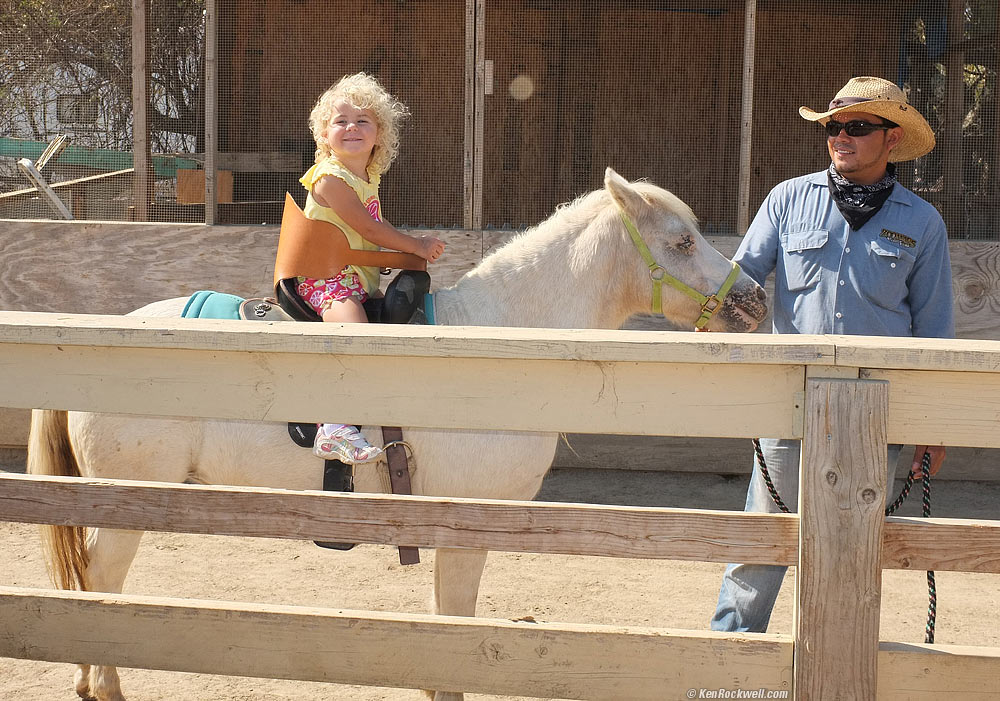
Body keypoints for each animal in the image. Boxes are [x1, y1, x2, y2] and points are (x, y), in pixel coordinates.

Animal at [27, 167, 768, 701]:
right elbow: (456, 629)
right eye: (680, 241)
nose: (755, 299)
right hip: (125, 504)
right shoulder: (469, 527)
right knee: (100, 583)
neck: (496, 342)